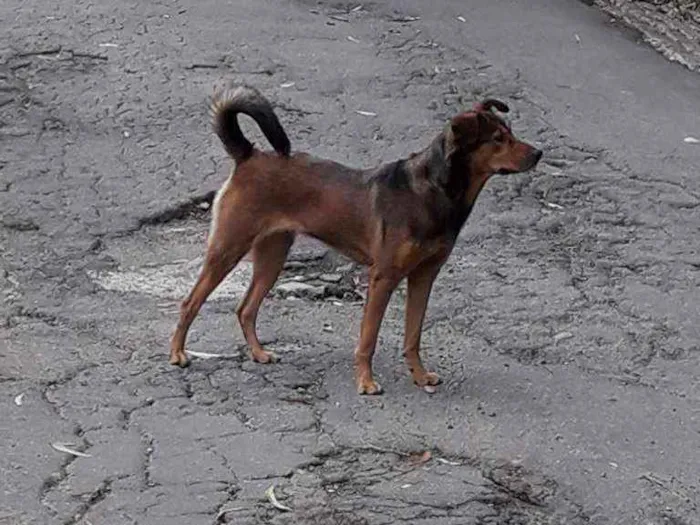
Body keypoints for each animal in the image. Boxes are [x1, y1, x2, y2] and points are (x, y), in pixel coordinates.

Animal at [170, 84, 540, 392]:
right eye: (498, 138)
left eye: (511, 133)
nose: (538, 153)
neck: (436, 189)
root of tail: (249, 154)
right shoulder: (383, 278)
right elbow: (368, 339)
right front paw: (366, 382)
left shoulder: (424, 276)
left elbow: (413, 335)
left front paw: (420, 376)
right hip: (228, 247)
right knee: (190, 302)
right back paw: (177, 354)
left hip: (273, 255)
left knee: (246, 308)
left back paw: (259, 353)